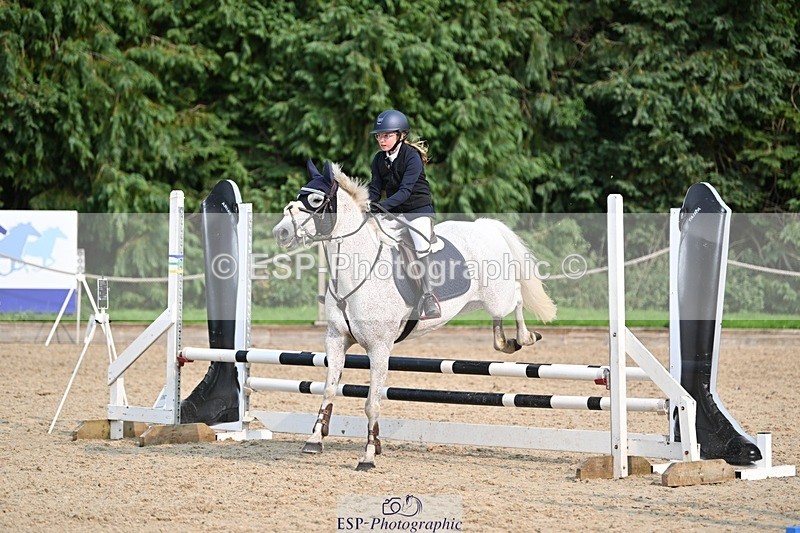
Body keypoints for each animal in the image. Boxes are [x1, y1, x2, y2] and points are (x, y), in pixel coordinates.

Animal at [271, 160, 557, 470]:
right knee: (499, 321)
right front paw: (315, 440)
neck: (356, 272)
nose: (281, 232)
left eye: (315, 200)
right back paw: (505, 342)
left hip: (498, 294)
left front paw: (368, 455)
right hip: (480, 301)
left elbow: (371, 402)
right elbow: (328, 390)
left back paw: (524, 337)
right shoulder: (336, 341)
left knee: (516, 297)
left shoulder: (379, 348)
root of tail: (485, 226)